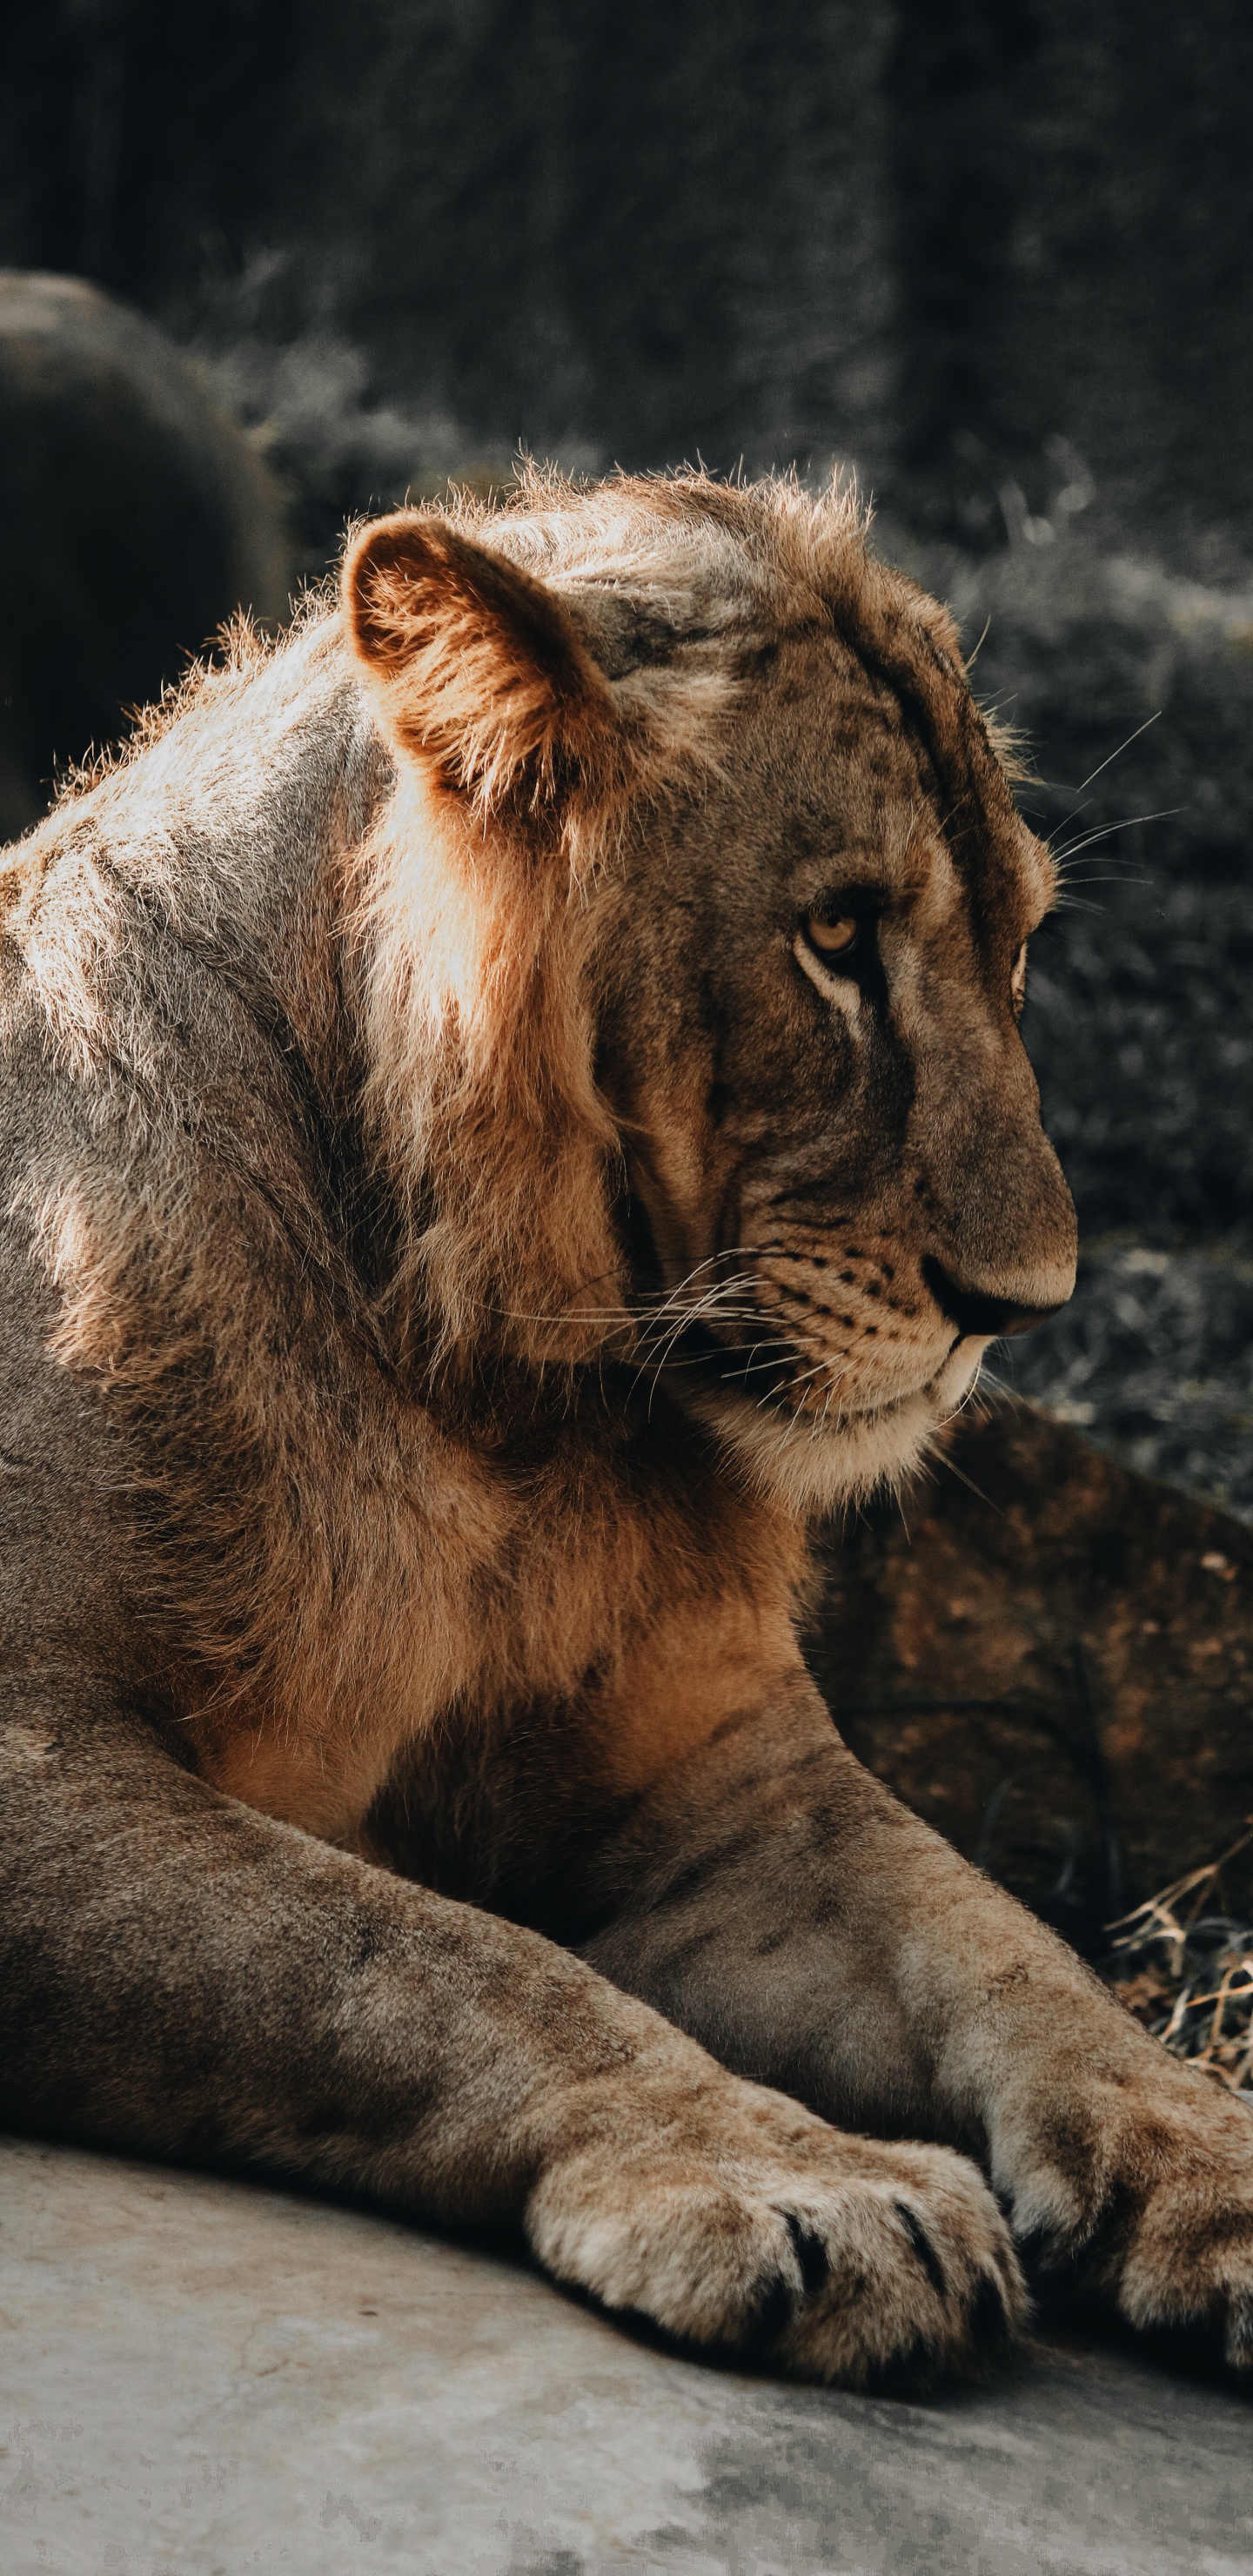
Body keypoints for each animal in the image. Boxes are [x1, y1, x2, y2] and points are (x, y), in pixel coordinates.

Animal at [1, 470, 1250, 2392]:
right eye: (838, 937)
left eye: (1021, 941)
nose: (1026, 1306)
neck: (492, 1401)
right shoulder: (33, 1755)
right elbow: (428, 1958)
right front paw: (799, 2182)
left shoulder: (722, 1782)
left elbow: (1006, 1942)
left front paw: (1211, 2157)